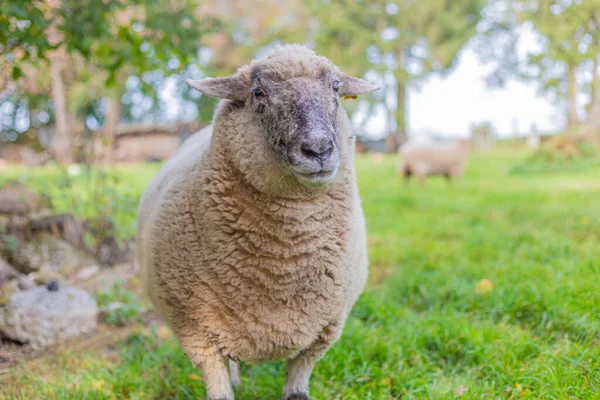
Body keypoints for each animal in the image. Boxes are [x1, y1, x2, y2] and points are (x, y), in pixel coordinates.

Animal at [138, 44, 378, 400]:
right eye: (258, 92)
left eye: (335, 87)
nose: (319, 149)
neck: (281, 267)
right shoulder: (196, 333)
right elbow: (219, 387)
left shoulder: (322, 333)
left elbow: (297, 389)